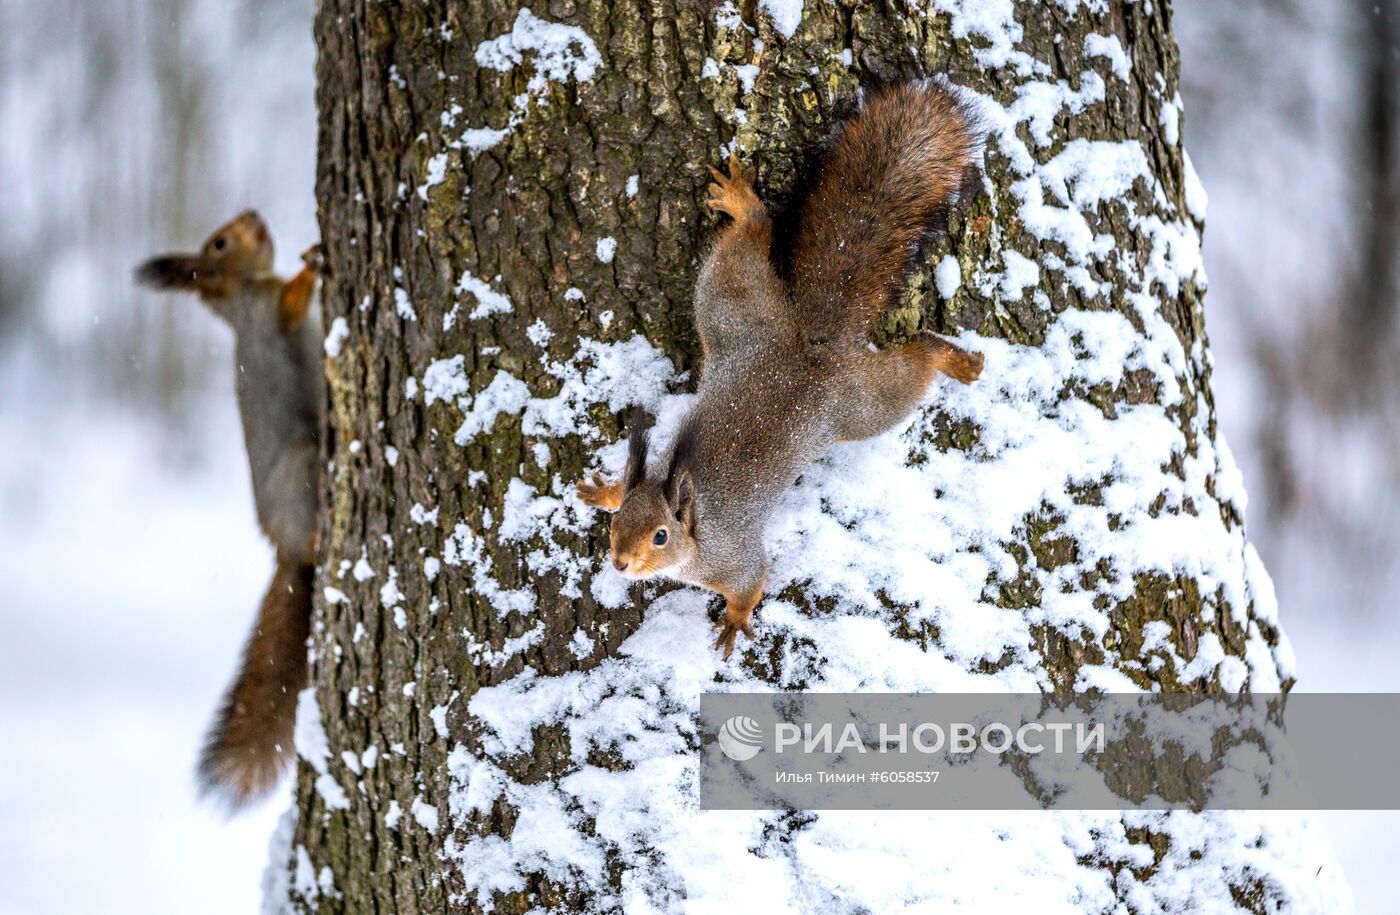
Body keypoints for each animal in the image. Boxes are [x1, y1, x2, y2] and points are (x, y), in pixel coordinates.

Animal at [135, 211, 323, 805]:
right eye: (219, 243)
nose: (256, 218)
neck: (245, 290)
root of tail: (284, 548)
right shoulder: (269, 314)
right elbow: (293, 302)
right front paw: (314, 261)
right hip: (303, 469)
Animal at [574, 82, 980, 660]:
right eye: (618, 520)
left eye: (660, 536)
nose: (620, 563)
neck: (697, 528)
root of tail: (808, 337)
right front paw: (603, 490)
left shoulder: (735, 558)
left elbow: (751, 585)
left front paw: (734, 622)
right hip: (734, 309)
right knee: (749, 241)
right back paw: (739, 202)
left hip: (858, 402)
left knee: (915, 357)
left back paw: (954, 360)